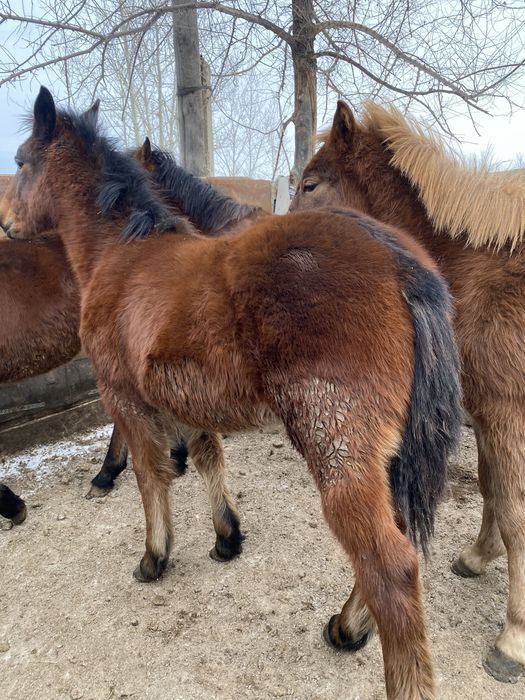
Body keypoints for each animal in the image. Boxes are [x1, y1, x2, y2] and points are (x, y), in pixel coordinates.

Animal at [1, 87, 462, 699]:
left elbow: (150, 474)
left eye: (21, 160)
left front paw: (154, 555)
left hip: (338, 447)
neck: (120, 254)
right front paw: (226, 537)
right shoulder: (184, 394)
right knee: (401, 534)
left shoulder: (122, 393)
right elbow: (205, 457)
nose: (7, 223)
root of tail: (397, 259)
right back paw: (347, 625)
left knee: (390, 565)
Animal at [291, 100, 525, 684]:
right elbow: (490, 487)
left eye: (311, 185)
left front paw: (513, 638)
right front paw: (477, 555)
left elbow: (514, 509)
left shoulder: (505, 412)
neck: (477, 268)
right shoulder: (484, 412)